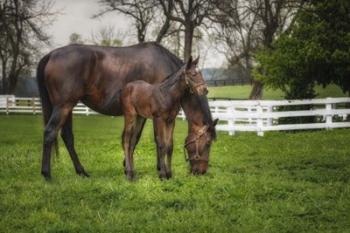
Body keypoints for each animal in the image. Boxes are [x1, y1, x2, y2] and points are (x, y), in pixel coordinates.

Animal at [36, 41, 216, 179]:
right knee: (50, 132)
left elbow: (137, 139)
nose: (201, 171)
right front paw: (157, 170)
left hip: (68, 107)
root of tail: (51, 55)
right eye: (207, 143)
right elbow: (153, 141)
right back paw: (47, 174)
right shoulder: (152, 116)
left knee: (67, 137)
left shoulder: (143, 115)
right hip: (63, 106)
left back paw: (81, 172)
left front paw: (130, 167)